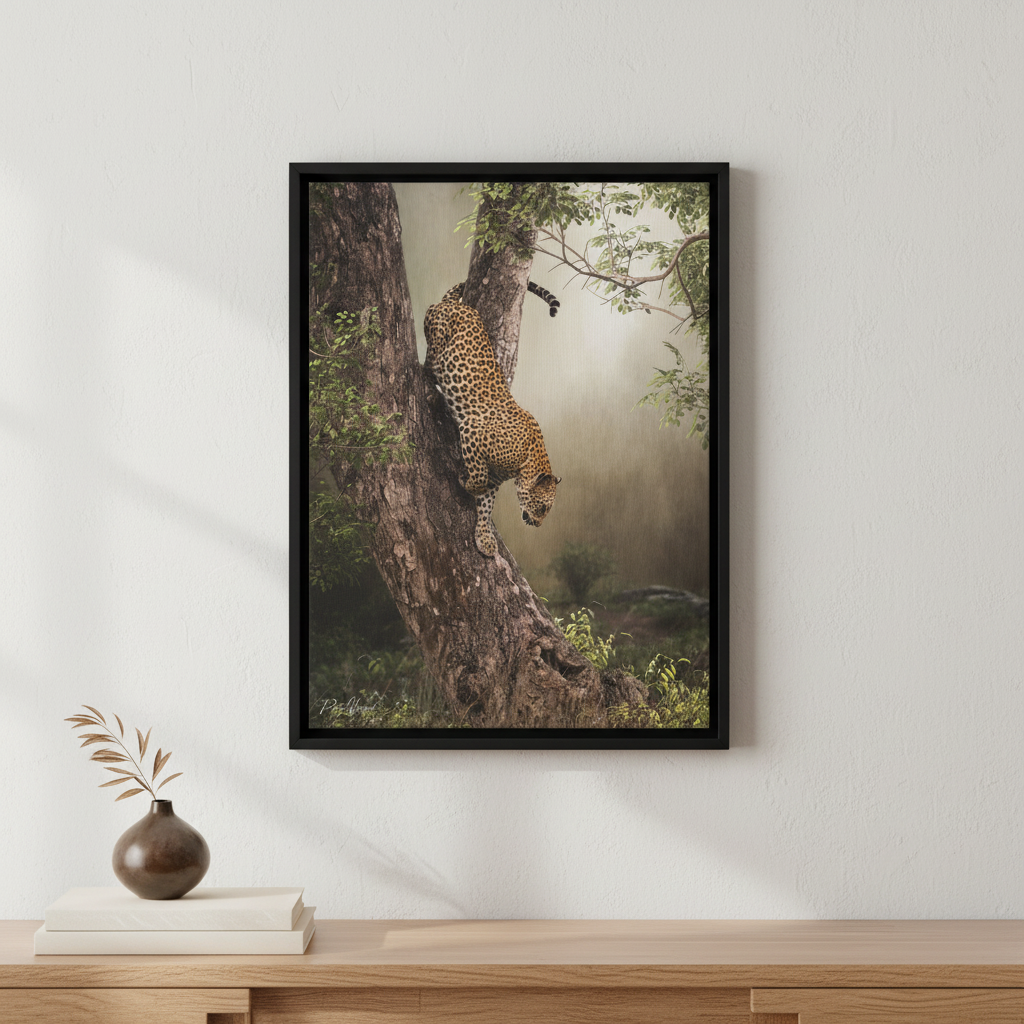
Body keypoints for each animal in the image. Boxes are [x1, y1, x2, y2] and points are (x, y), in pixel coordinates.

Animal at [423, 281, 561, 557]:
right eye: (543, 508)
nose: (538, 525)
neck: (526, 463)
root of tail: (458, 305)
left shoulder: (496, 478)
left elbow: (486, 504)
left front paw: (484, 537)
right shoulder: (472, 430)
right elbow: (478, 478)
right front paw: (465, 481)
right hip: (437, 335)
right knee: (428, 361)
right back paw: (432, 384)